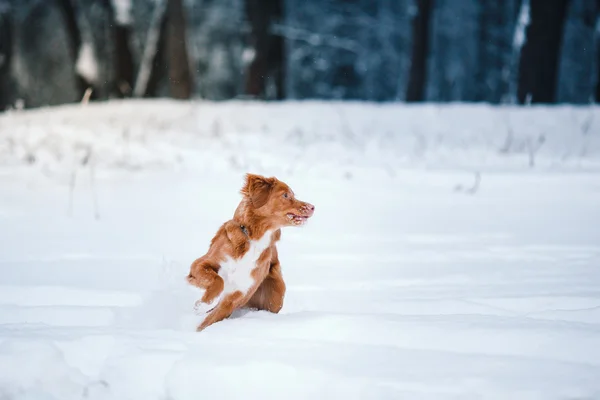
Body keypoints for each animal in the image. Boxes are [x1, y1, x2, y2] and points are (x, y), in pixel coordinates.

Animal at [189, 173, 316, 332]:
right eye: (286, 195)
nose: (313, 207)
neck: (254, 240)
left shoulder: (239, 294)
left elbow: (209, 320)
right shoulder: (201, 263)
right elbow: (218, 280)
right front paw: (203, 304)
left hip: (277, 292)